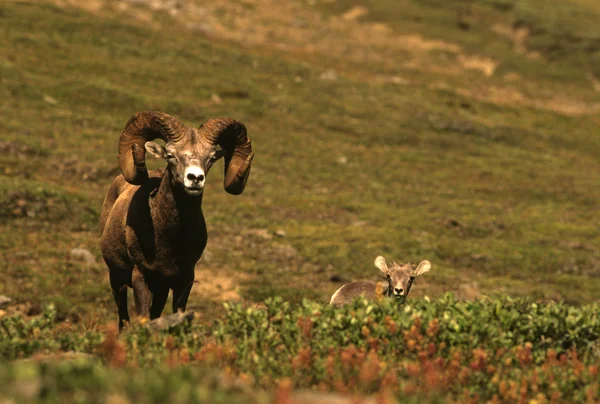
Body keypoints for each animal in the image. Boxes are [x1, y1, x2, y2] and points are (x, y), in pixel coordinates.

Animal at [101, 110, 253, 328]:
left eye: (211, 158)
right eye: (171, 156)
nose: (195, 178)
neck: (168, 241)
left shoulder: (184, 280)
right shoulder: (141, 277)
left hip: (160, 290)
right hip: (117, 280)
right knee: (123, 318)